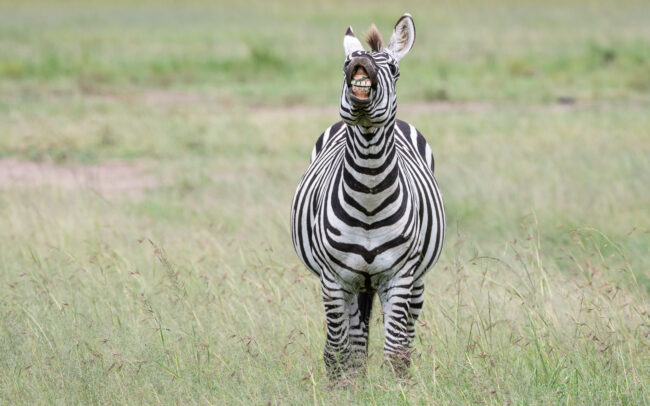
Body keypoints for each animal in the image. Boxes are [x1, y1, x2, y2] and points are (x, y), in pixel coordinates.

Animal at [290, 14, 445, 378]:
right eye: (345, 63)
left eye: (394, 68)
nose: (360, 65)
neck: (369, 192)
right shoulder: (334, 279)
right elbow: (337, 353)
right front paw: (343, 387)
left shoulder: (399, 277)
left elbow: (395, 353)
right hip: (354, 285)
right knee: (356, 345)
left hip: (416, 281)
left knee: (403, 338)